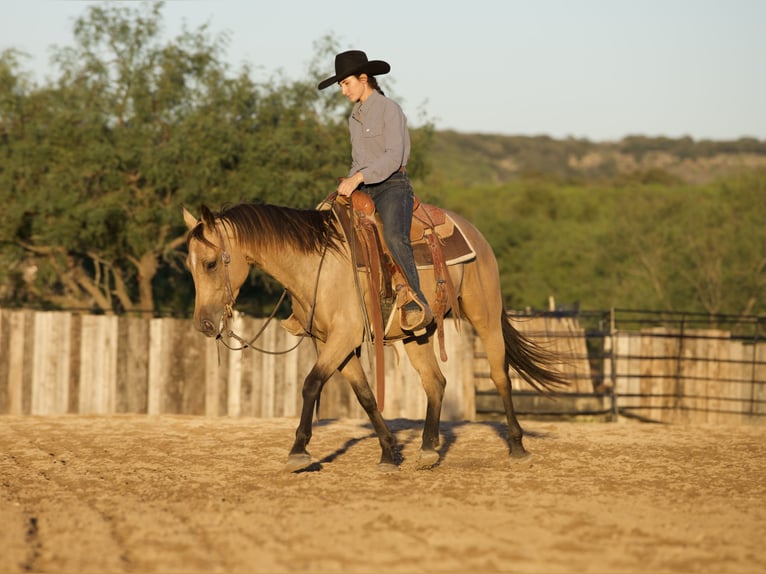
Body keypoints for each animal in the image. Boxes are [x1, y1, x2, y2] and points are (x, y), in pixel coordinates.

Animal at [183, 199, 567, 471]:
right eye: (190, 264)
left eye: (211, 263)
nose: (204, 324)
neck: (318, 264)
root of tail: (474, 233)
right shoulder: (331, 342)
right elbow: (365, 396)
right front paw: (388, 452)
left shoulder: (343, 338)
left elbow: (311, 384)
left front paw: (298, 451)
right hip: (417, 335)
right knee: (436, 383)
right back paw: (428, 450)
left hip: (483, 315)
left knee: (500, 375)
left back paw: (517, 446)